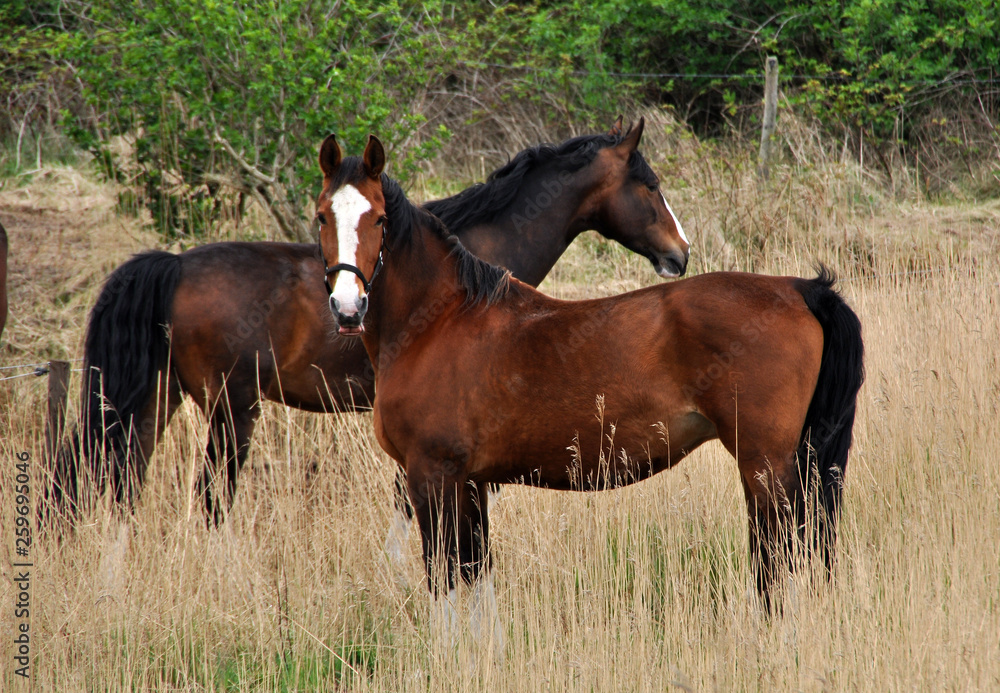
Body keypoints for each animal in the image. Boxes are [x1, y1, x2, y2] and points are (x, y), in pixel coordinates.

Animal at [48, 118, 690, 526]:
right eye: (649, 185)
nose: (680, 255)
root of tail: (175, 265)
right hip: (231, 412)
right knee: (203, 501)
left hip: (158, 400)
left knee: (115, 481)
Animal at [317, 135, 864, 634]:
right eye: (322, 216)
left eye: (379, 220)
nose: (346, 308)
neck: (439, 319)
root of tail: (800, 289)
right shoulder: (472, 483)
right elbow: (476, 581)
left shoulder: (433, 477)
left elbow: (446, 583)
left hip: (764, 467)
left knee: (781, 558)